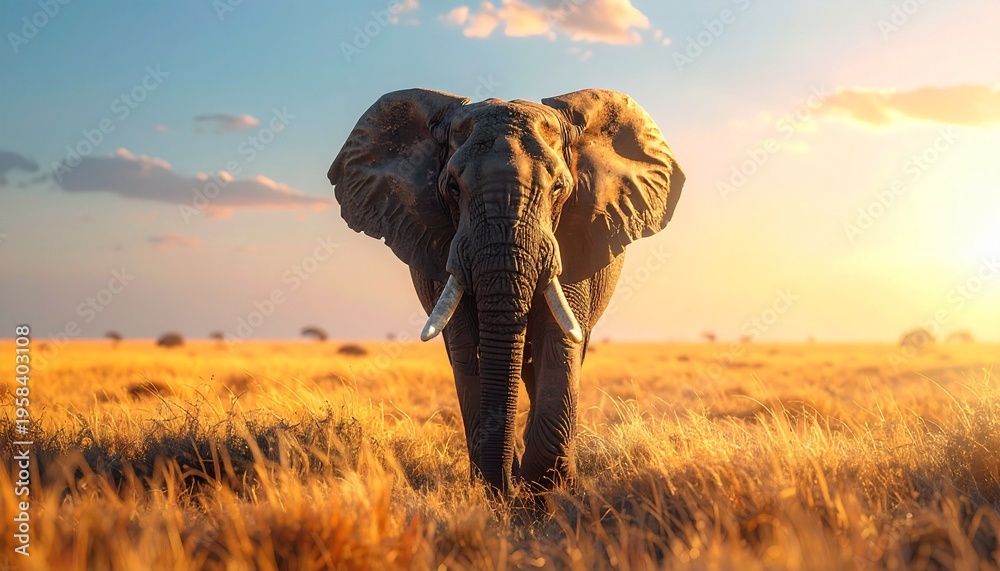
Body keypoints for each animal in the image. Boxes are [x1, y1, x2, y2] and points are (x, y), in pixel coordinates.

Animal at [328, 88, 685, 499]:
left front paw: (547, 493)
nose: (508, 491)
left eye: (559, 188)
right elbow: (467, 349)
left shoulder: (574, 236)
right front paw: (501, 493)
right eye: (452, 187)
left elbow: (558, 341)